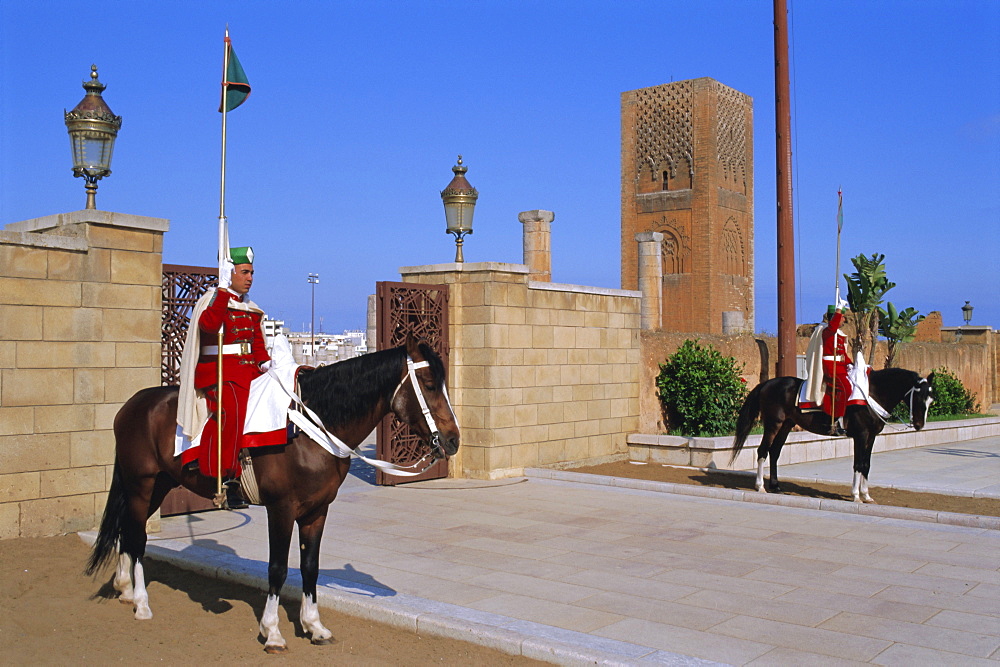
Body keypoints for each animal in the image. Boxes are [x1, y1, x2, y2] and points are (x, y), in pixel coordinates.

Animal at [87, 336, 460, 648]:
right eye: (429, 385)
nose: (453, 439)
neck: (311, 429)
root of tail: (134, 403)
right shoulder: (281, 509)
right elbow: (278, 568)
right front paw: (273, 631)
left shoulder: (317, 511)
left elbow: (310, 566)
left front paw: (314, 626)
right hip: (141, 484)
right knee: (137, 537)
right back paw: (141, 602)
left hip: (158, 485)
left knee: (128, 531)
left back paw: (124, 588)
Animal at [732, 368, 932, 504]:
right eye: (919, 397)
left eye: (931, 399)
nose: (919, 425)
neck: (870, 395)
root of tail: (767, 383)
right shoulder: (861, 435)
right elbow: (858, 464)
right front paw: (856, 496)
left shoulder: (871, 437)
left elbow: (866, 465)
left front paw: (866, 495)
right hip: (774, 424)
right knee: (762, 451)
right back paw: (760, 487)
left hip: (786, 425)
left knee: (774, 452)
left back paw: (776, 486)